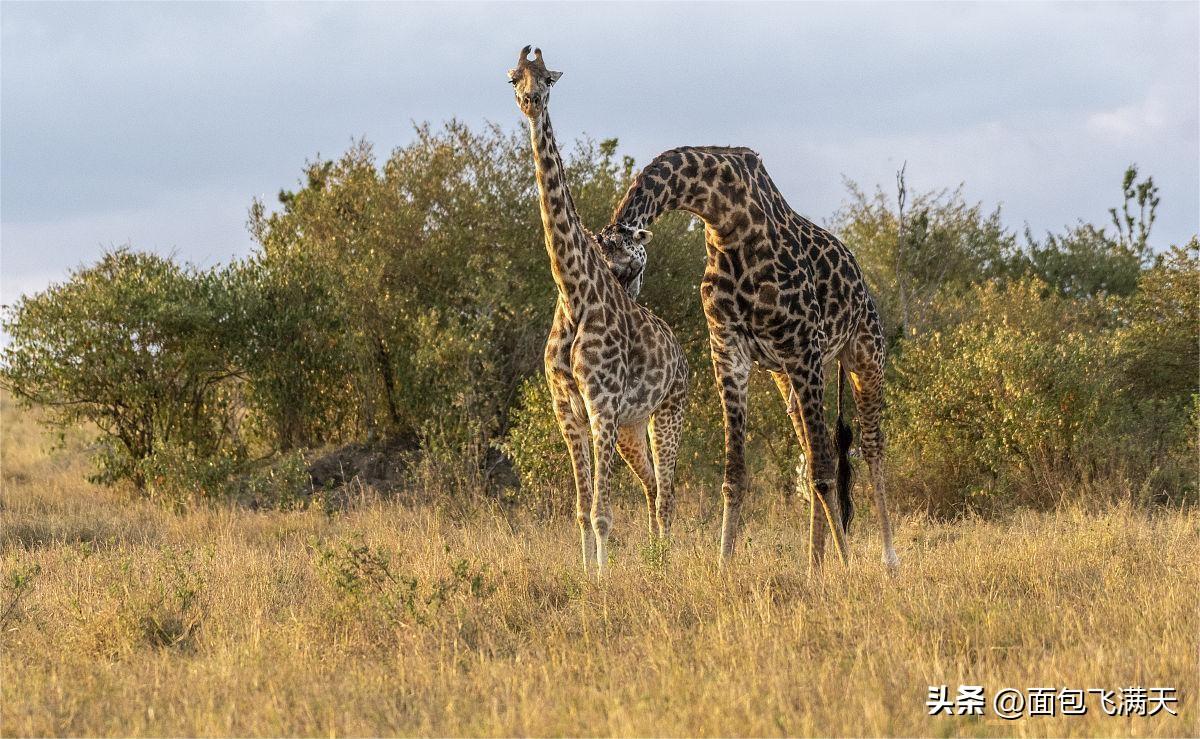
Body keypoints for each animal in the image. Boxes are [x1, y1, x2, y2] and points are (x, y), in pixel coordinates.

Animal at [508, 46, 696, 573]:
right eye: (513, 77)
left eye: (548, 79)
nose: (531, 101)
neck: (573, 294)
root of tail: (682, 354)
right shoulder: (568, 411)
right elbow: (579, 510)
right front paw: (588, 573)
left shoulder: (602, 406)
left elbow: (601, 513)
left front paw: (602, 581)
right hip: (634, 427)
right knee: (653, 489)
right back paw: (655, 559)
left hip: (668, 412)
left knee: (668, 494)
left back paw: (664, 565)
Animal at [600, 145, 902, 571]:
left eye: (629, 268)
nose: (620, 309)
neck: (725, 222)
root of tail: (861, 280)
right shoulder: (729, 351)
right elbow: (735, 475)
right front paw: (723, 567)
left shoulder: (803, 345)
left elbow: (825, 470)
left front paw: (847, 565)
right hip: (790, 376)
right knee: (814, 450)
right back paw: (814, 566)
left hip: (863, 354)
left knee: (871, 445)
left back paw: (888, 560)